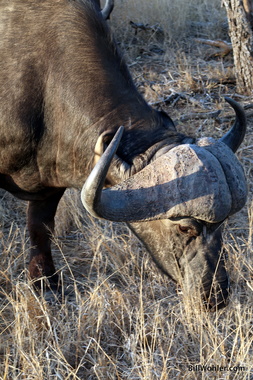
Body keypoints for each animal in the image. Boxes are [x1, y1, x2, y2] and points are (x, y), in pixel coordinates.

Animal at [0, 0, 247, 308]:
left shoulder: (49, 184)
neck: (43, 83)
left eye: (224, 224)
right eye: (184, 228)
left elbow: (40, 229)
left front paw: (45, 284)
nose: (216, 295)